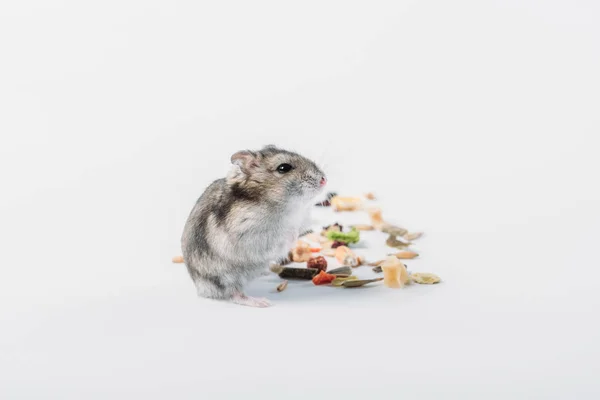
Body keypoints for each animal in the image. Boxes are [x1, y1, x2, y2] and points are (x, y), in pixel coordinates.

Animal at [180, 145, 326, 308]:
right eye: (284, 168)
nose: (324, 180)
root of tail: (201, 288)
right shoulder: (250, 234)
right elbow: (283, 237)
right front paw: (293, 234)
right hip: (225, 277)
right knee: (233, 294)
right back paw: (261, 302)